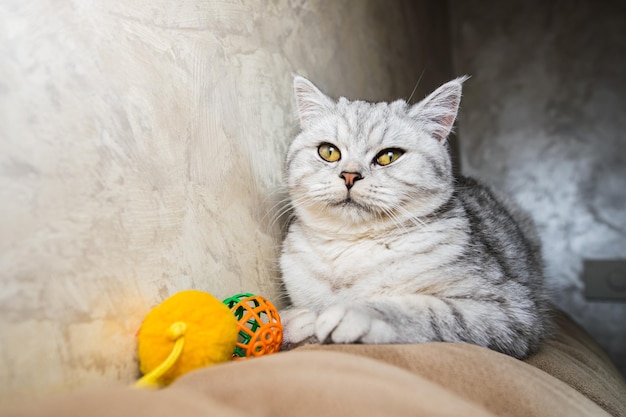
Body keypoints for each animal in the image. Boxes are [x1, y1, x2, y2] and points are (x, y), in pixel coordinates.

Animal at [280, 74, 552, 358]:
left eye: (389, 156)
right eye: (329, 152)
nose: (350, 175)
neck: (350, 248)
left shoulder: (507, 309)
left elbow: (424, 309)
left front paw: (354, 313)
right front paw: (291, 321)